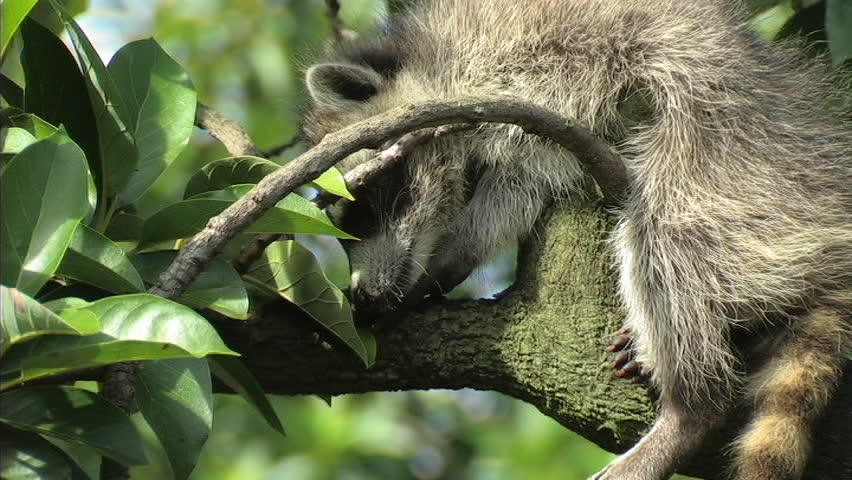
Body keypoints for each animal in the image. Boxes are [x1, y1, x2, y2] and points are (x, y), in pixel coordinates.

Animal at [302, 1, 852, 479]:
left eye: (368, 198)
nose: (362, 296)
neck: (438, 61)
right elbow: (518, 189)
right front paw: (446, 263)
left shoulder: (547, 66)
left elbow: (532, 159)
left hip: (729, 169)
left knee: (665, 234)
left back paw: (690, 408)